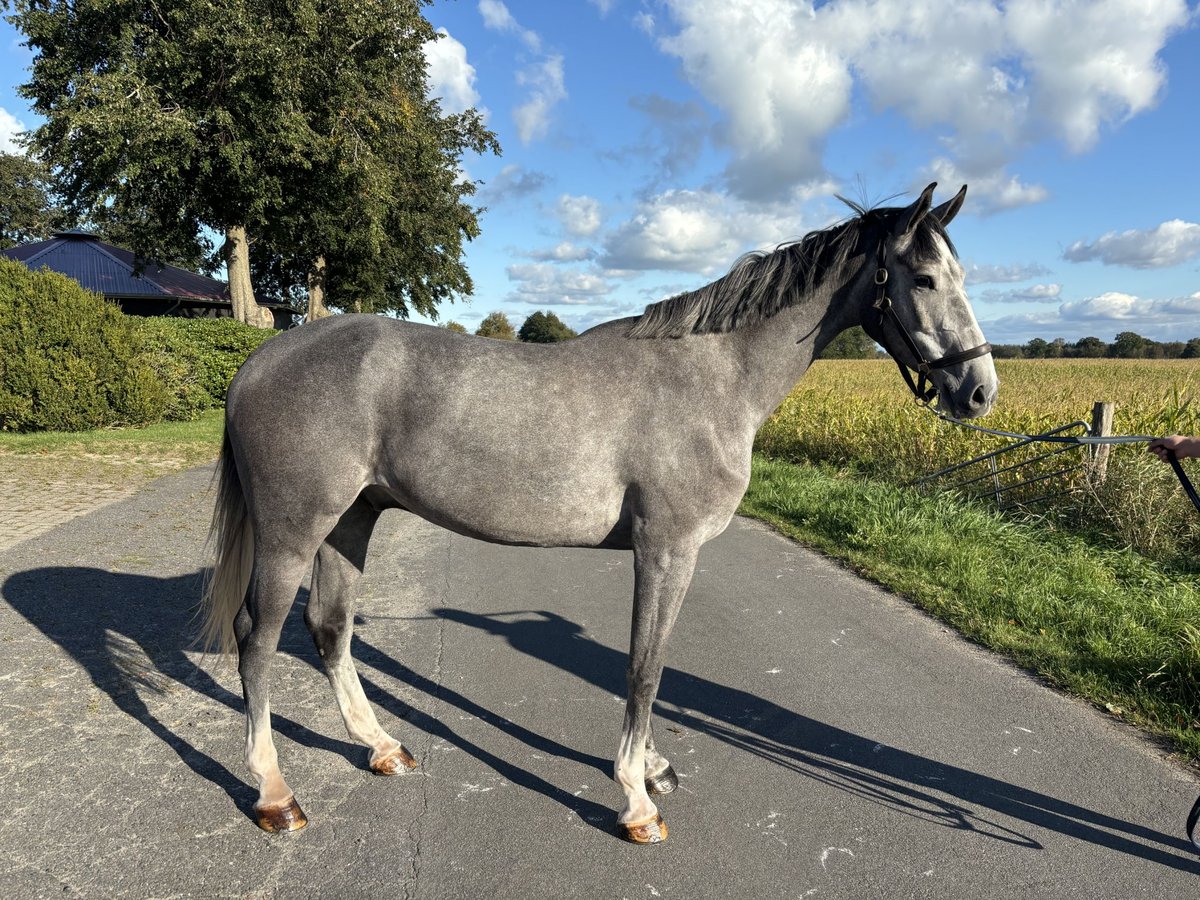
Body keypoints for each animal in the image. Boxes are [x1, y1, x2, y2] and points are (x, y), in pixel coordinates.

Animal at [204, 183, 993, 844]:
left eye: (962, 277)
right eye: (923, 279)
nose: (979, 390)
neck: (713, 377)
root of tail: (258, 362)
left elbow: (648, 665)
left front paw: (649, 769)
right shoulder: (667, 550)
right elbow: (646, 668)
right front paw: (637, 799)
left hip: (351, 520)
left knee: (328, 627)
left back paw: (382, 748)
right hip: (293, 532)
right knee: (257, 639)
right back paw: (275, 794)